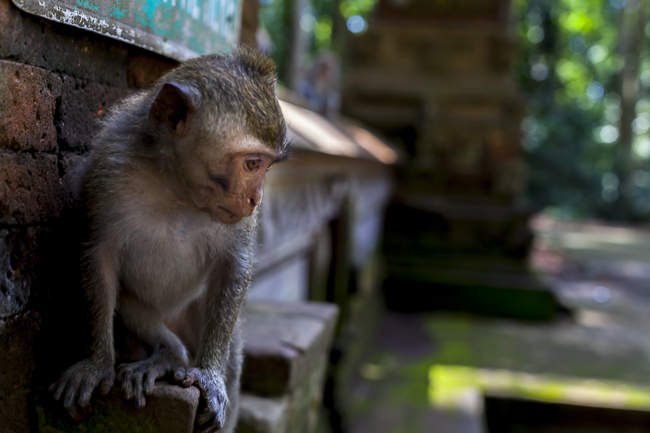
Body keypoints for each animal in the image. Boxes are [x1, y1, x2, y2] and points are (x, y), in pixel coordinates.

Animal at [49, 47, 289, 433]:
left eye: (267, 167)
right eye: (253, 164)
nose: (256, 199)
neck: (175, 189)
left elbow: (233, 268)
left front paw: (209, 376)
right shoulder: (107, 171)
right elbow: (97, 257)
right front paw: (96, 363)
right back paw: (168, 354)